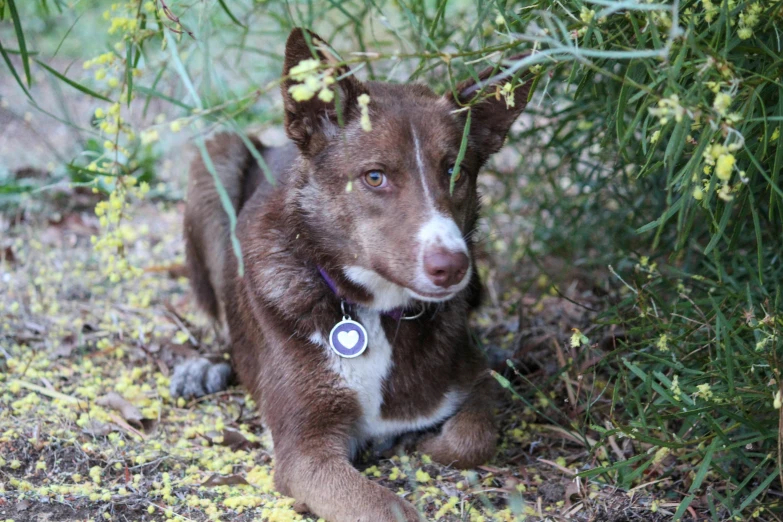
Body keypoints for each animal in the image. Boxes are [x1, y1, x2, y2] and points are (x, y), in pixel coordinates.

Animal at [175, 27, 532, 520]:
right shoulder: (305, 449)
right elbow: (385, 507)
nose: (452, 267)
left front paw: (424, 441)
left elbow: (473, 436)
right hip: (216, 156)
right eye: (375, 177)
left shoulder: (473, 379)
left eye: (454, 170)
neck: (376, 312)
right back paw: (203, 367)